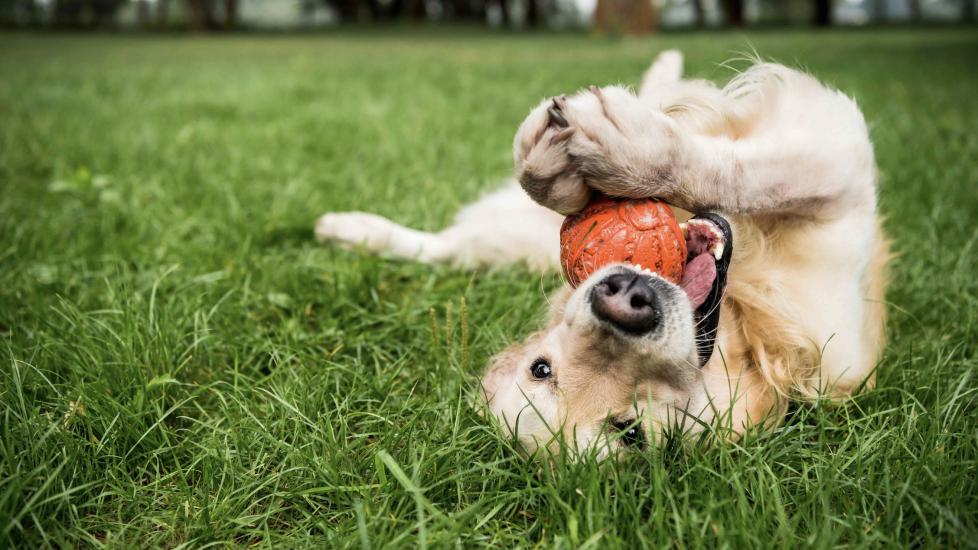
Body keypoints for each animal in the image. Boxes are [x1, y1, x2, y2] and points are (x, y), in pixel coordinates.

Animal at [316, 51, 888, 460]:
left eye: (539, 369)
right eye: (629, 432)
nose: (625, 299)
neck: (743, 325)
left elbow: (739, 170)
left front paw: (617, 154)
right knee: (448, 248)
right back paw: (350, 230)